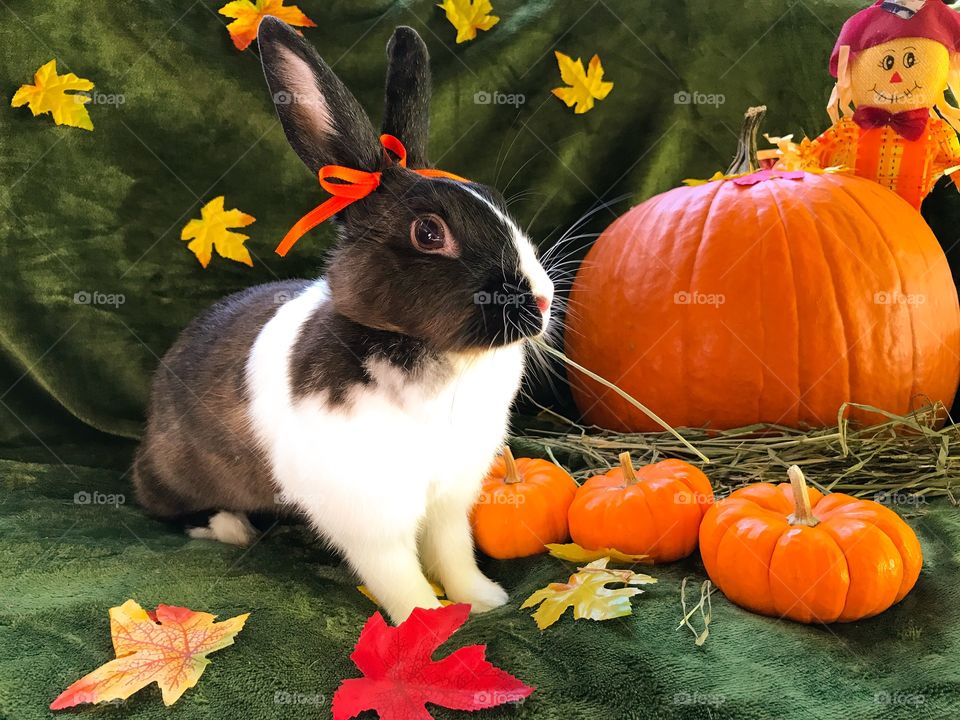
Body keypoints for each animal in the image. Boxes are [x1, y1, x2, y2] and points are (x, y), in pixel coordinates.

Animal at [132, 17, 554, 623]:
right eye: (429, 232)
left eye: (494, 199)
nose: (540, 301)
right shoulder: (368, 509)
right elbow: (397, 572)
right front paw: (425, 621)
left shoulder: (450, 496)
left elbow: (453, 552)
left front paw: (484, 600)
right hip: (174, 471)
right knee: (163, 504)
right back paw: (230, 527)